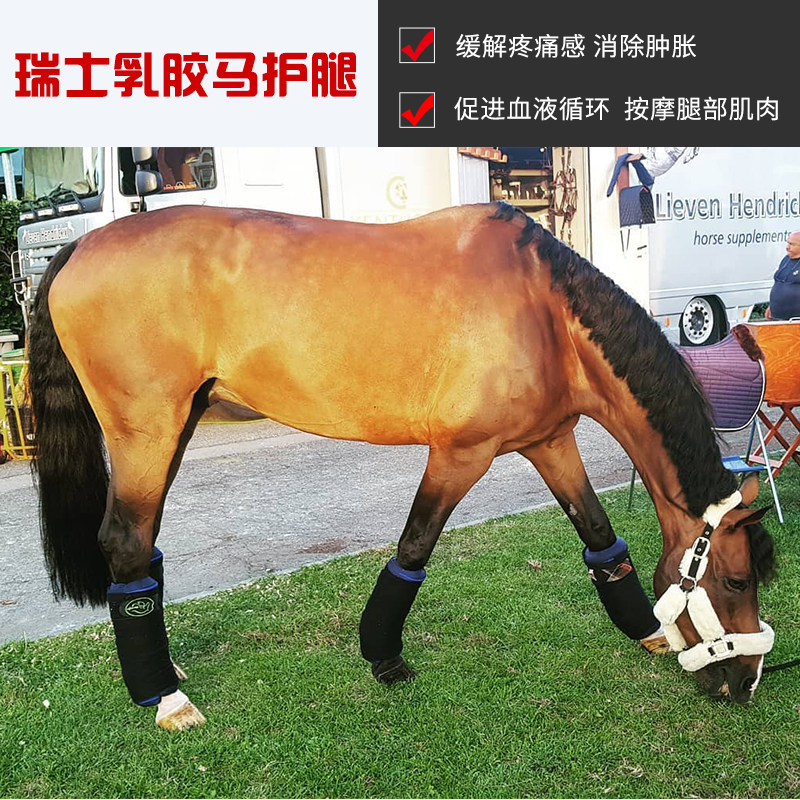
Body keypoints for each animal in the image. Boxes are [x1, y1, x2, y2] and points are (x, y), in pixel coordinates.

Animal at [26, 201, 776, 731]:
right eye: (736, 581)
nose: (746, 684)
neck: (546, 311)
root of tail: (79, 246)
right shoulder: (460, 454)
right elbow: (414, 549)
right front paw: (383, 655)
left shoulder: (550, 443)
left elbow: (601, 539)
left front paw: (646, 630)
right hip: (146, 434)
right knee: (126, 543)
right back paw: (166, 700)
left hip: (176, 426)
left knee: (142, 547)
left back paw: (164, 673)